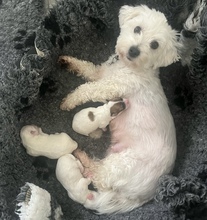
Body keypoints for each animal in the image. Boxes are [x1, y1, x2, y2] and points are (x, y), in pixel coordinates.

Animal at [57, 5, 180, 214]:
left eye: (155, 45)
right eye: (137, 28)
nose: (134, 50)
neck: (128, 67)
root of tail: (142, 198)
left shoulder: (108, 86)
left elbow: (86, 89)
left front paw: (70, 100)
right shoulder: (101, 73)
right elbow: (86, 68)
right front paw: (68, 61)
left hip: (120, 165)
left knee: (98, 176)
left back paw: (81, 155)